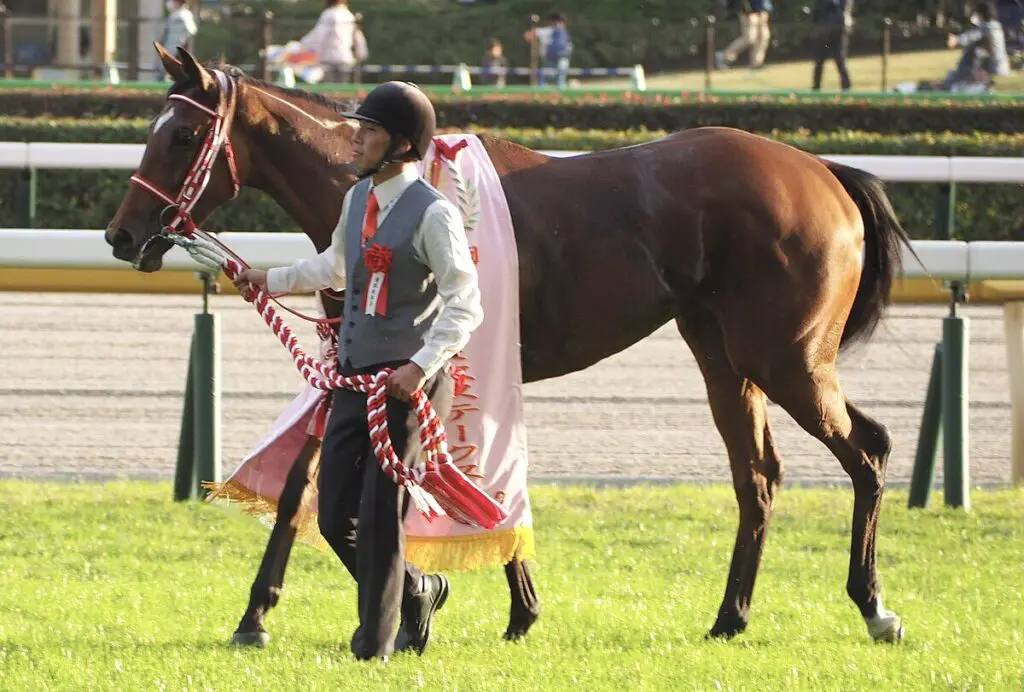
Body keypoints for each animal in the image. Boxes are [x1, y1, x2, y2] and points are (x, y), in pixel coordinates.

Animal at [106, 45, 912, 647]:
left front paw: (428, 601)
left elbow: (450, 485)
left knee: (866, 449)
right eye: (154, 129)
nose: (121, 234)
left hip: (786, 357)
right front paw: (258, 614)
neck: (387, 186)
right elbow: (314, 483)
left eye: (182, 136)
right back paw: (730, 616)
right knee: (759, 478)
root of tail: (823, 172)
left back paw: (873, 605)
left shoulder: (429, 371)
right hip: (723, 356)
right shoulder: (356, 372)